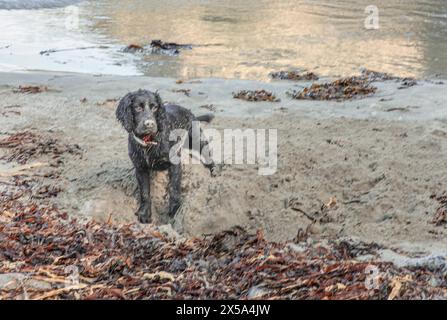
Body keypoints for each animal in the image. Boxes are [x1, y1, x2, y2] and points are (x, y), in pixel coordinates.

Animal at [116, 89, 218, 224]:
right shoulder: (140, 168)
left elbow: (173, 187)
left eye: (155, 107)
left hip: (196, 140)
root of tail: (189, 111)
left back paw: (214, 170)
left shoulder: (174, 163)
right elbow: (144, 192)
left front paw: (175, 209)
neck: (149, 141)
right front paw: (145, 213)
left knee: (207, 155)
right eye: (138, 107)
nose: (149, 124)